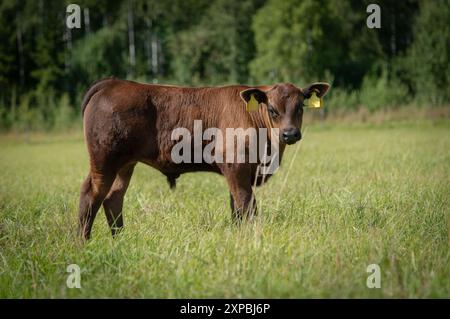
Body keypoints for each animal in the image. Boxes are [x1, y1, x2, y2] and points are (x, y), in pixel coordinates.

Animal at [78, 78, 330, 240]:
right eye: (272, 109)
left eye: (300, 107)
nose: (290, 134)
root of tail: (113, 83)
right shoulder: (237, 168)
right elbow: (247, 205)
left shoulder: (239, 172)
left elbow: (236, 208)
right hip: (105, 160)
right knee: (91, 195)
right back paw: (84, 242)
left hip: (125, 164)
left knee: (113, 198)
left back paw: (119, 239)